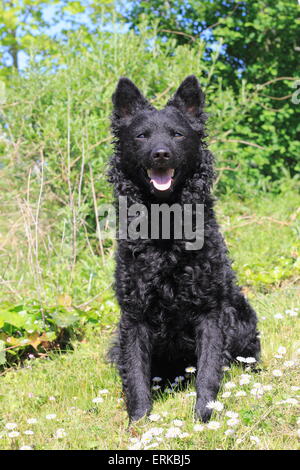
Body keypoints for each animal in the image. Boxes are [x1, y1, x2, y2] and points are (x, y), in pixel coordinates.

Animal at [108, 74, 260, 422]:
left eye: (177, 134)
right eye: (142, 136)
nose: (161, 153)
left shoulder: (210, 312)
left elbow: (208, 370)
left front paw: (204, 417)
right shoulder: (134, 316)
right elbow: (136, 373)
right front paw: (140, 422)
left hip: (243, 318)